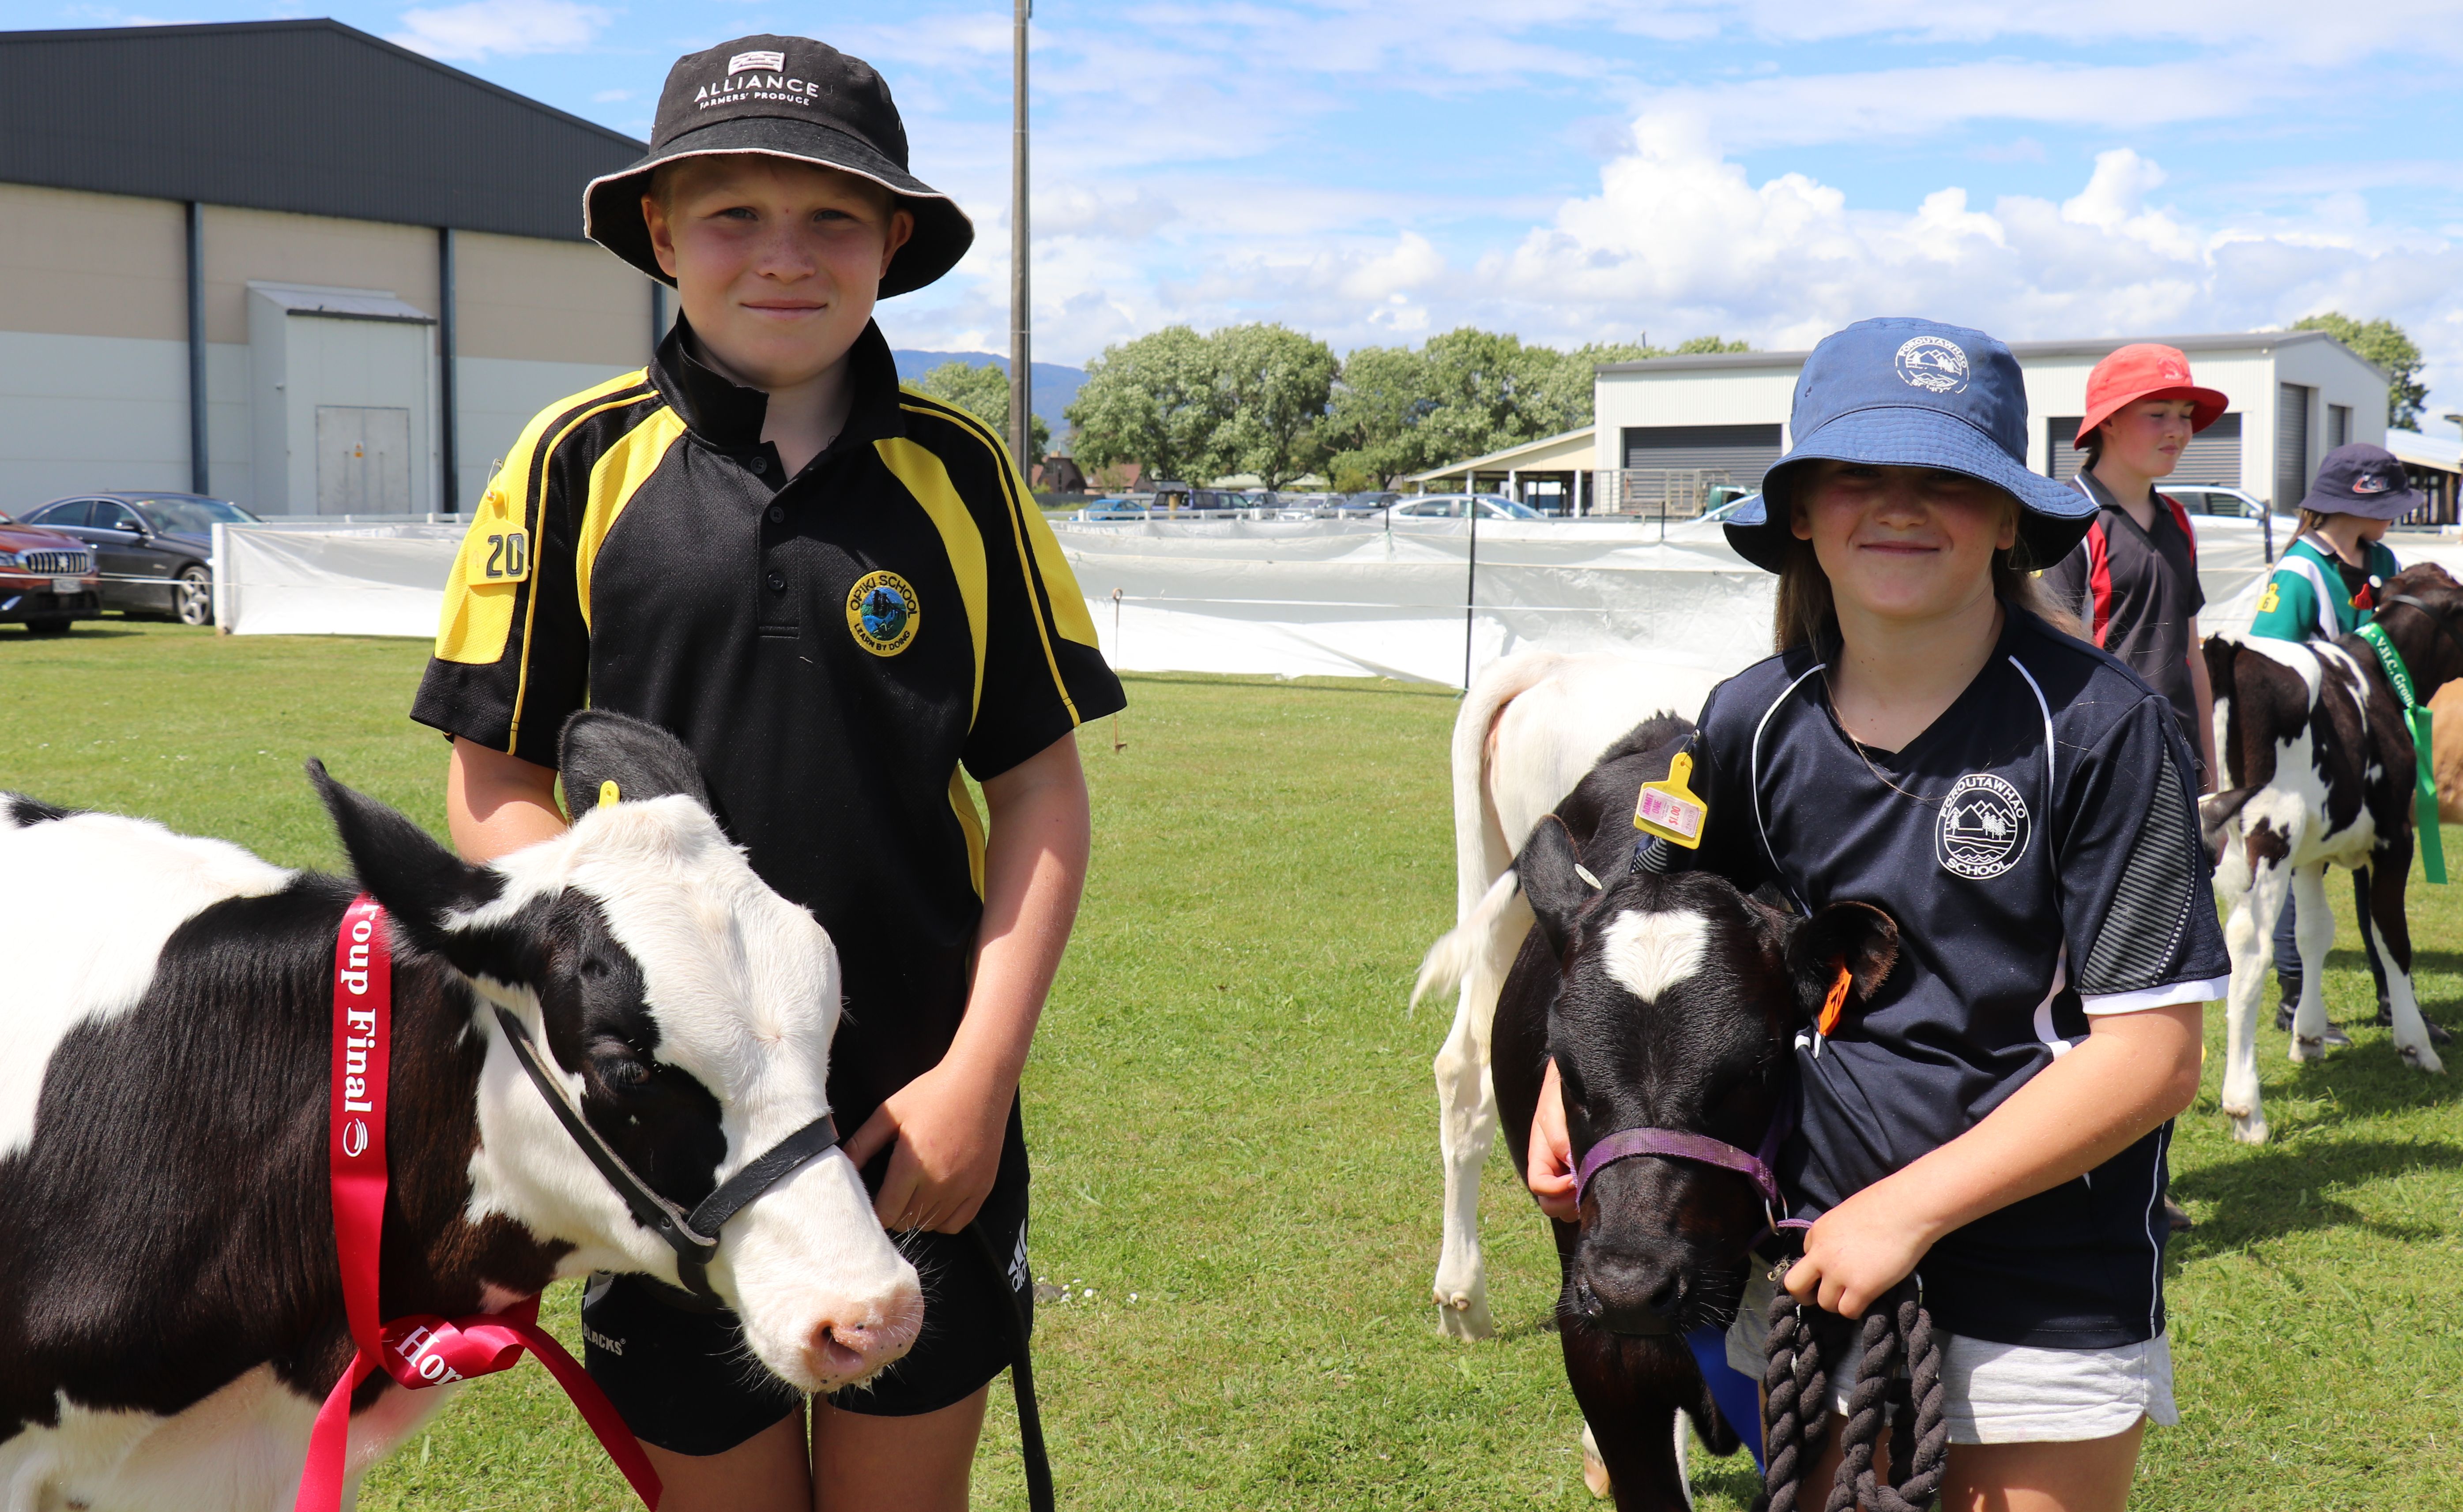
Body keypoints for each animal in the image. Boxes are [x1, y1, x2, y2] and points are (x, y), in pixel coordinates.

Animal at [2207, 564, 2463, 1143]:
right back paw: (2245, 1107)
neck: (2378, 679)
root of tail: (2234, 648)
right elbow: (2392, 938)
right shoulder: (2394, 839)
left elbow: (2313, 935)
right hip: (2269, 835)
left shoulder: (2311, 855)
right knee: (2249, 950)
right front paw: (2416, 1046)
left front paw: (2309, 1037)